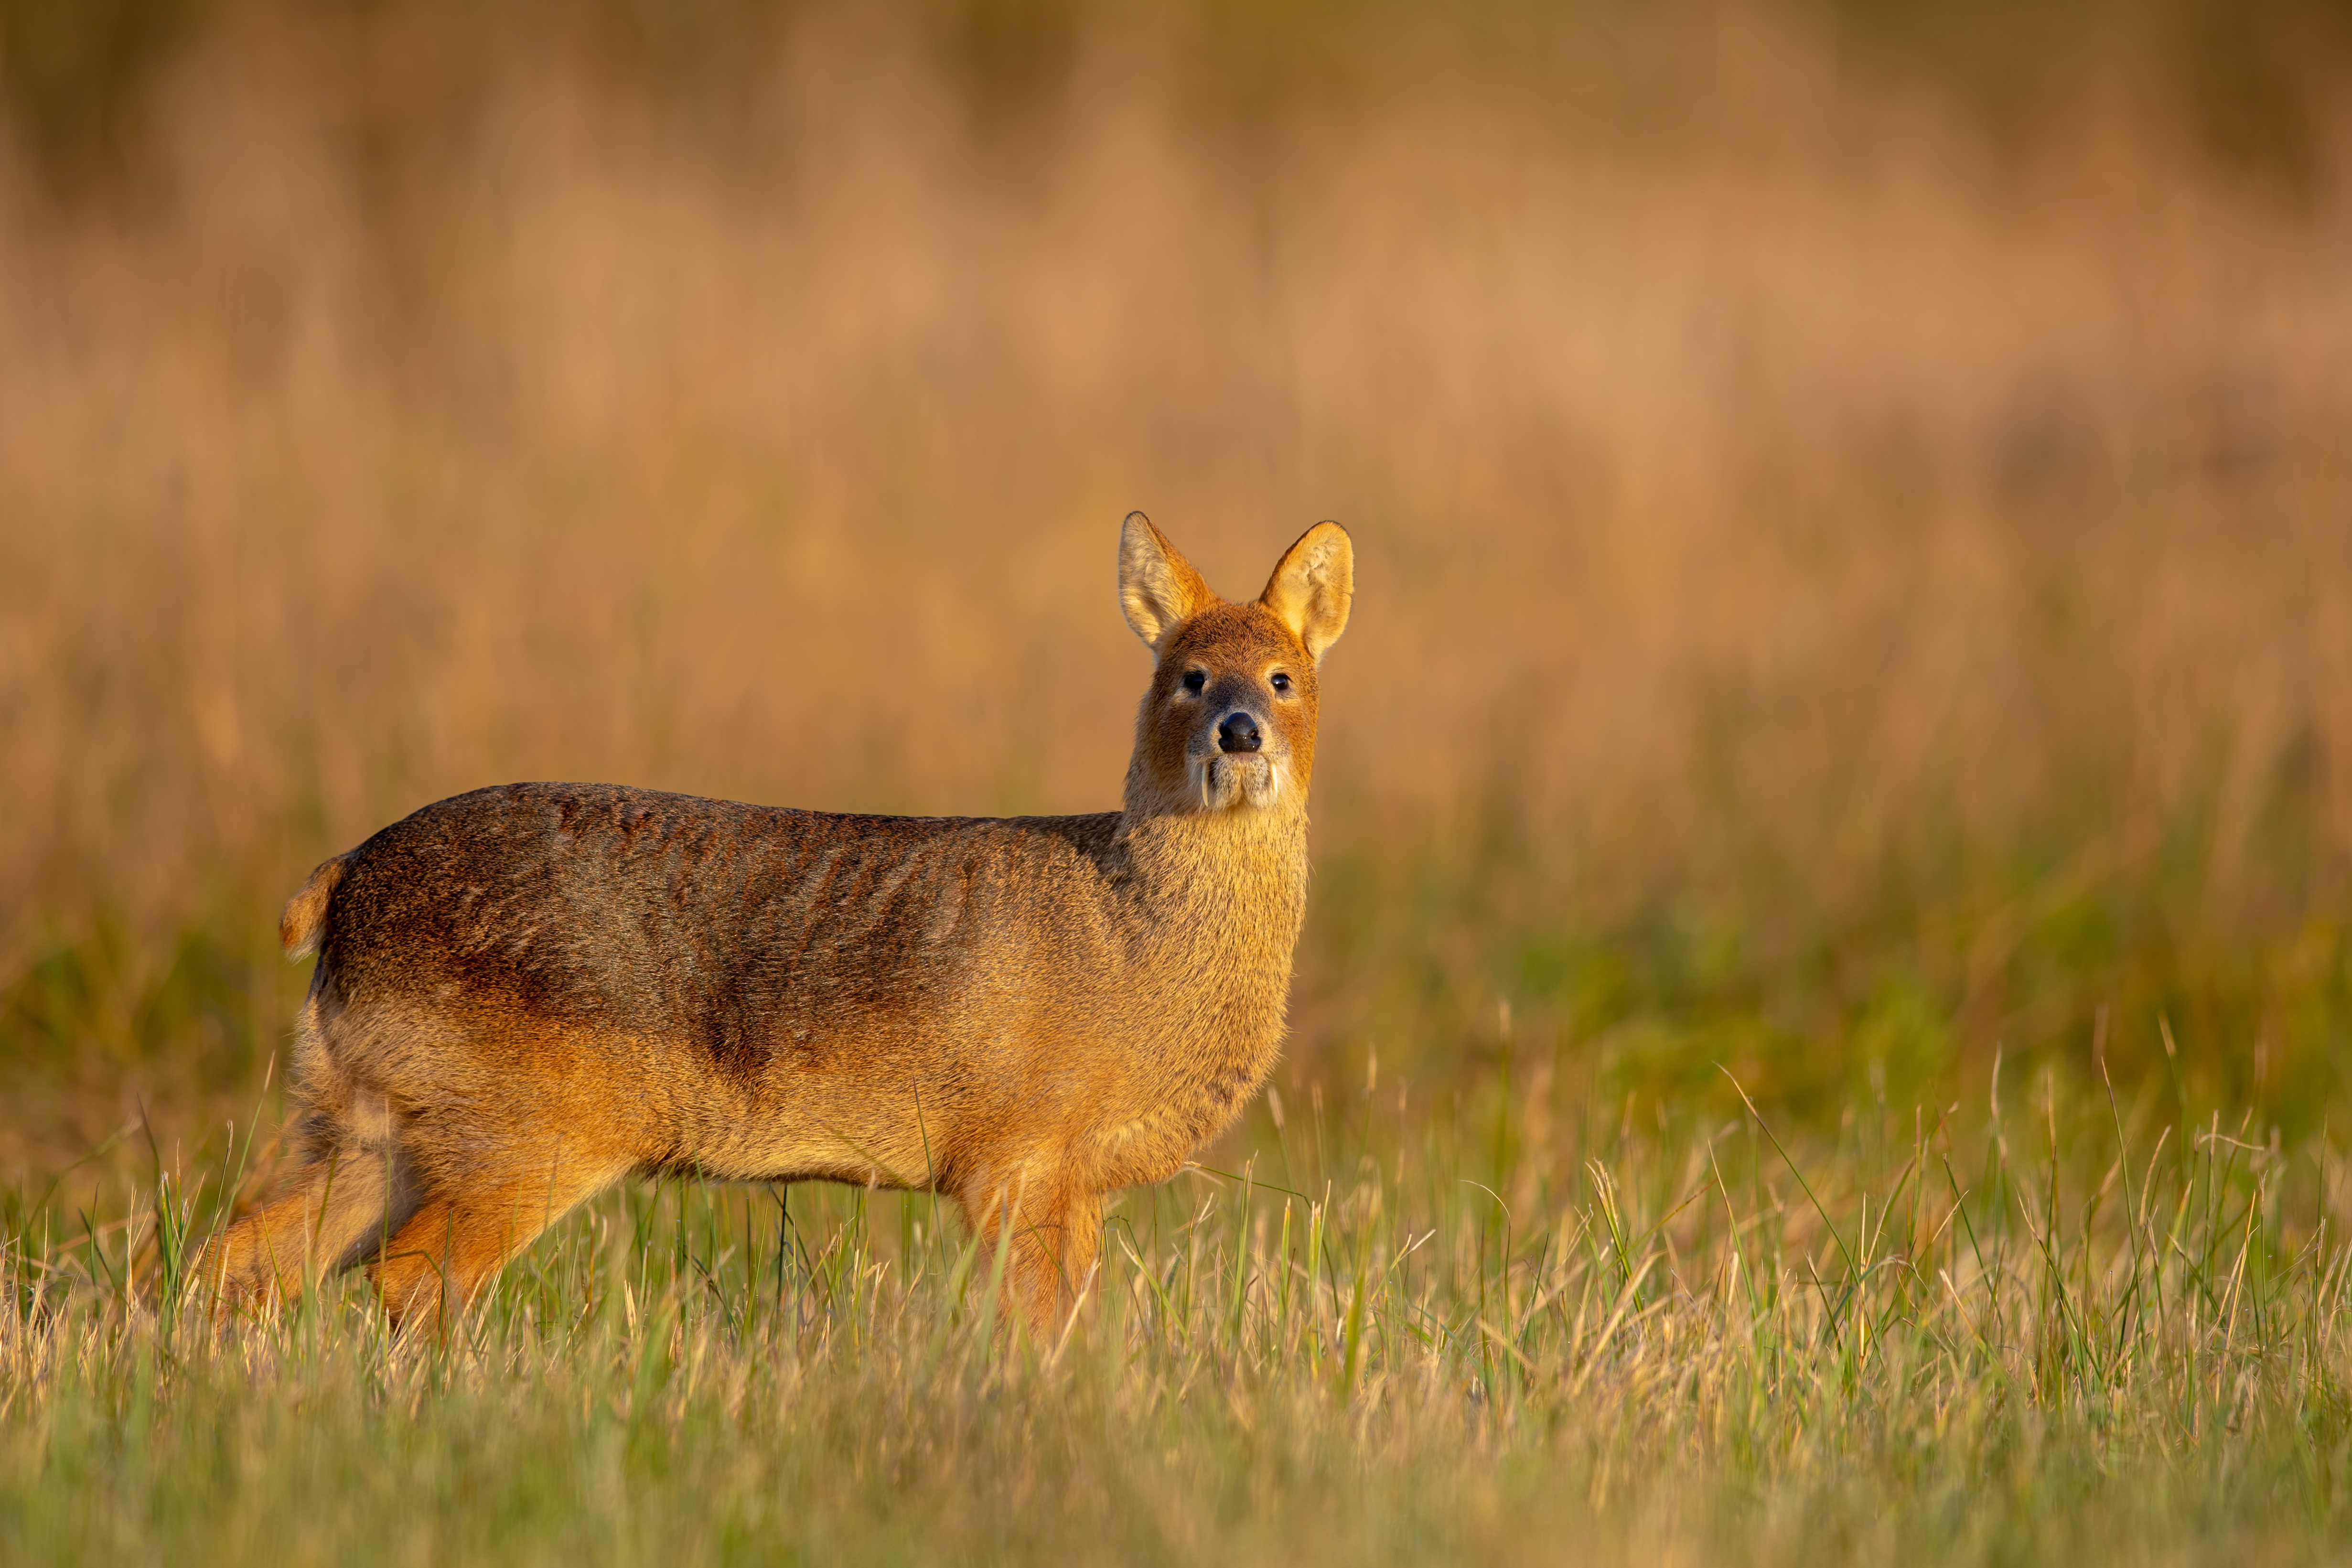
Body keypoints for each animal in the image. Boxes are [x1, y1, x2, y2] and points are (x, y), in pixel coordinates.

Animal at [198, 513, 1353, 1336]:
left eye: (1284, 677)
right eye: (1186, 676)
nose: (1239, 731)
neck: (1130, 935)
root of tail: (340, 883)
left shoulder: (1071, 1182)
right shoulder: (1011, 1157)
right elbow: (1032, 1329)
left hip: (370, 1123)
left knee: (236, 1261)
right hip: (524, 1133)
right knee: (411, 1277)